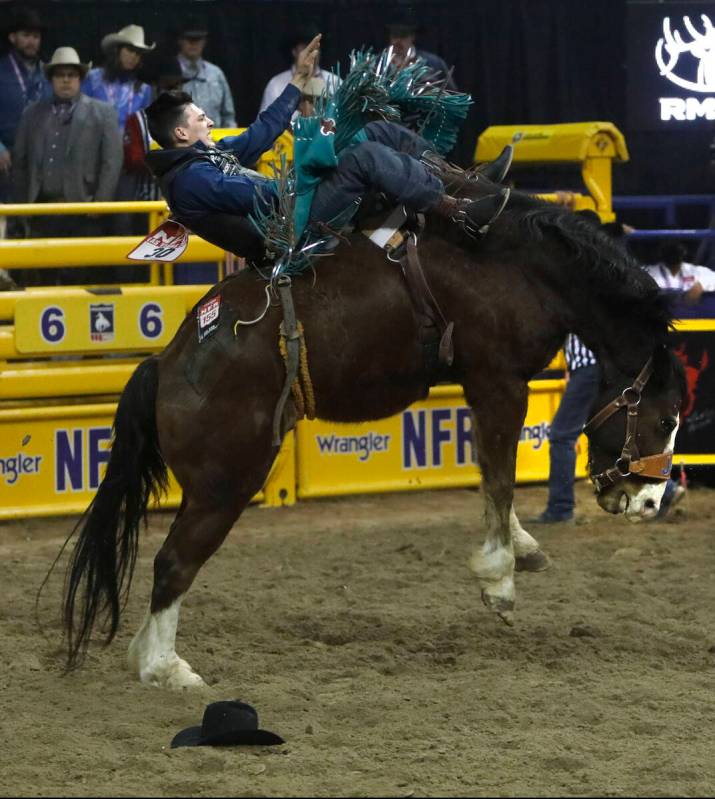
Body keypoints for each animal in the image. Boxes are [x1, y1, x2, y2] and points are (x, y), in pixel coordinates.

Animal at [58, 180, 684, 688]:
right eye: (666, 420)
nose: (649, 501)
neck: (519, 264)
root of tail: (169, 361)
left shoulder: (482, 385)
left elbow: (490, 474)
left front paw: (522, 551)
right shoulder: (500, 380)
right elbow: (501, 477)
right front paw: (499, 583)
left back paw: (145, 658)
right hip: (225, 485)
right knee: (174, 563)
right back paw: (166, 668)